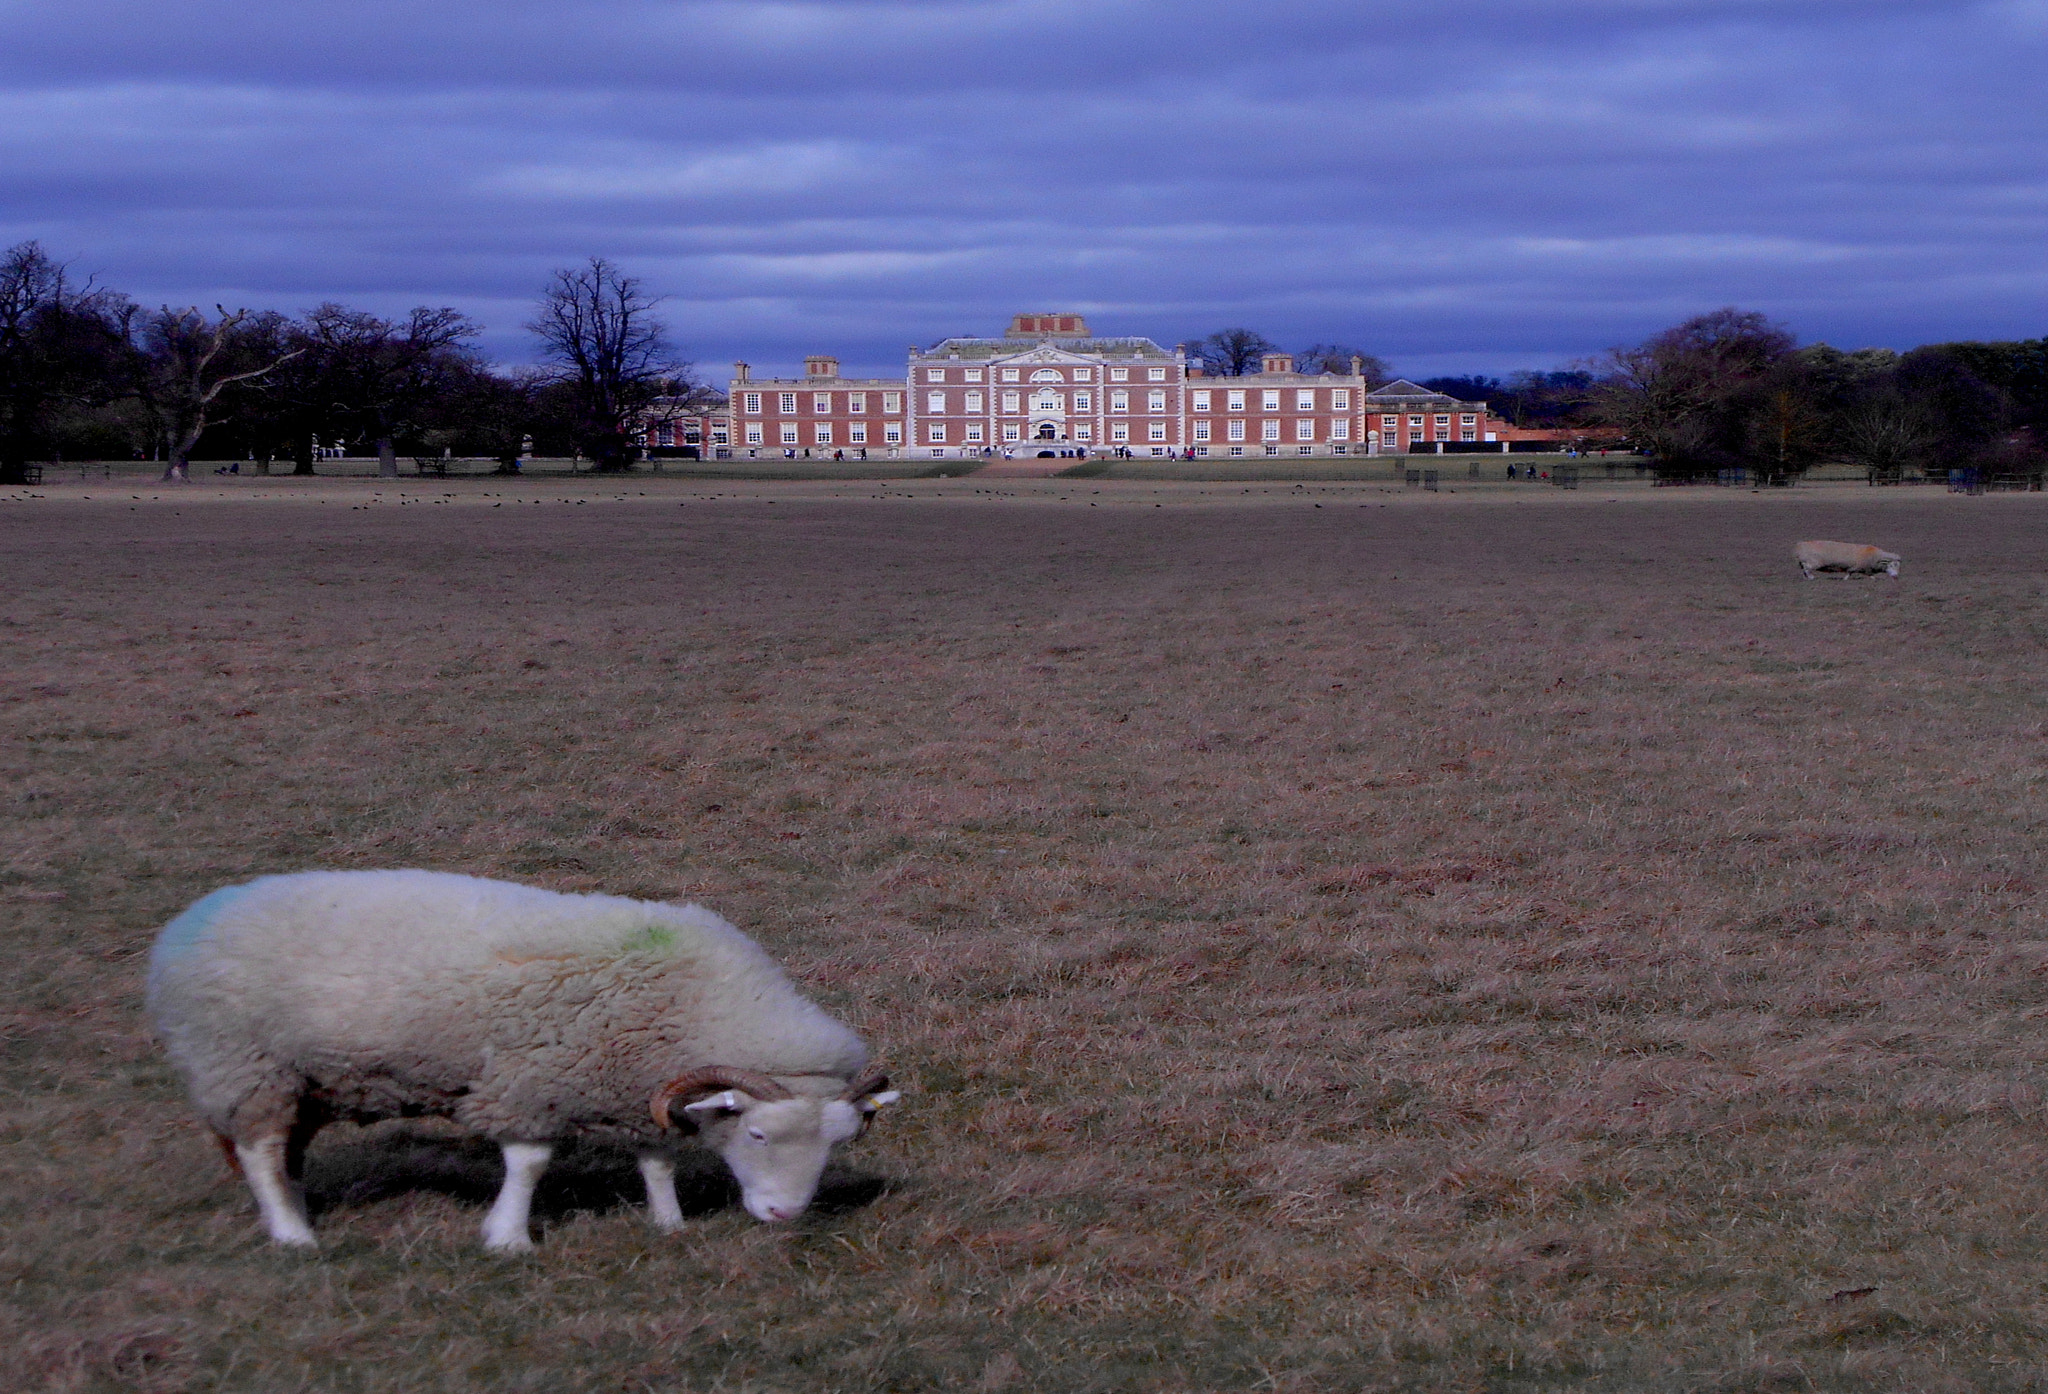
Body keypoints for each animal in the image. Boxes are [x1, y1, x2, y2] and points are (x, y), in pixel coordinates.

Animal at [148, 867, 901, 1252]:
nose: (784, 1217)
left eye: (839, 1142)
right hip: (247, 1065)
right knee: (260, 1152)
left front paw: (668, 1222)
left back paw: (299, 1210)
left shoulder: (637, 1086)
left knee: (284, 1154)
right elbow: (530, 1162)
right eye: (758, 1134)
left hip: (304, 1079)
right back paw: (292, 1234)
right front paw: (507, 1236)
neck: (688, 999)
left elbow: (656, 1160)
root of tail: (185, 923)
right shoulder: (529, 1082)